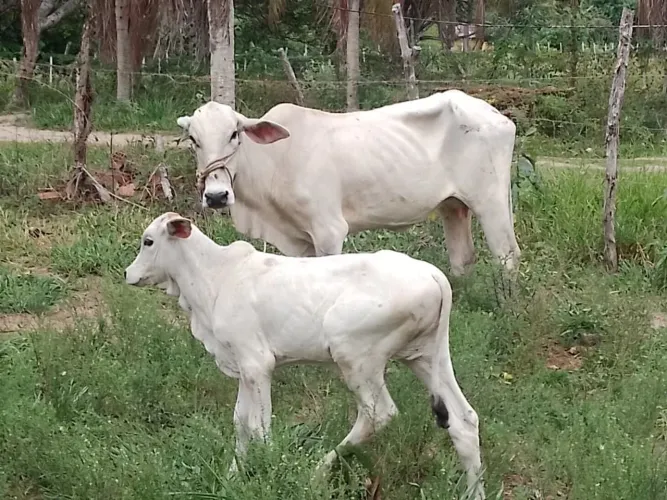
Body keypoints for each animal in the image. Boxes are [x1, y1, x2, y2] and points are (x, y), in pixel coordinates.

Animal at [124, 212, 486, 500]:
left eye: (148, 241)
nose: (129, 273)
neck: (215, 279)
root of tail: (433, 275)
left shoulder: (257, 363)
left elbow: (259, 426)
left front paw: (270, 471)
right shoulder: (243, 364)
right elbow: (240, 421)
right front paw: (233, 475)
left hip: (356, 356)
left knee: (379, 413)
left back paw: (316, 472)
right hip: (426, 356)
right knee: (463, 420)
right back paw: (474, 492)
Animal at [176, 90, 521, 278]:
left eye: (234, 134)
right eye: (193, 139)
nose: (217, 196)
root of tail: (497, 115)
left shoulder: (329, 231)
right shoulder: (299, 241)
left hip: (490, 200)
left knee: (507, 254)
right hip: (453, 205)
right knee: (463, 258)